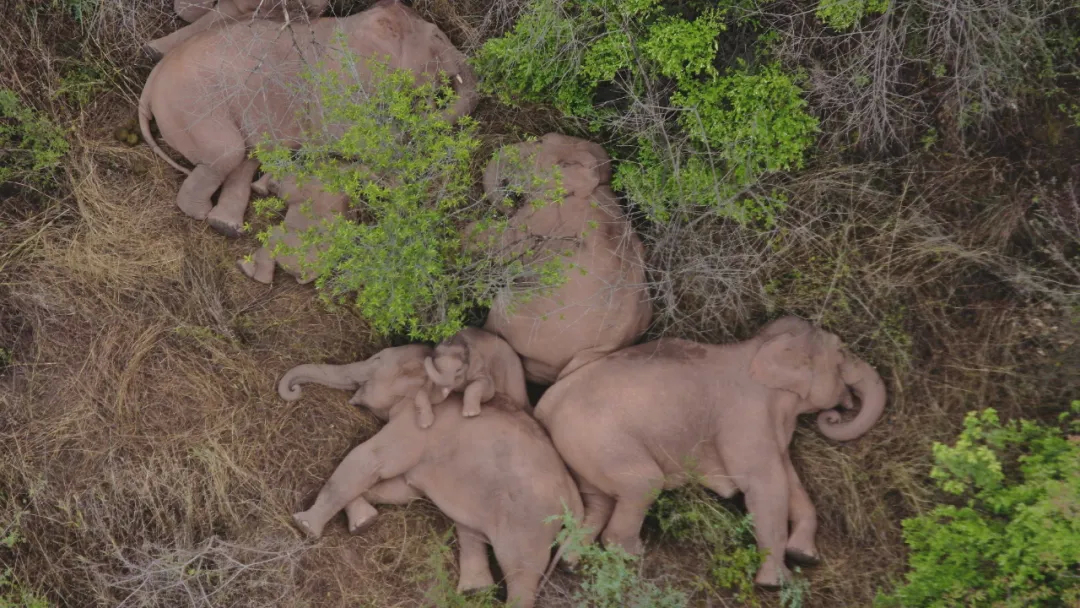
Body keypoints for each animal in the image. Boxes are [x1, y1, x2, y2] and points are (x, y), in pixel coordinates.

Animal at [278, 345, 583, 604]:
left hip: (529, 523)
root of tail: (575, 499)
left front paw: (305, 525)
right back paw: (474, 590)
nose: (294, 389)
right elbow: (401, 489)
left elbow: (371, 460)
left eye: (377, 360)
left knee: (520, 572)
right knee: (470, 530)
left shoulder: (417, 427)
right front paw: (363, 522)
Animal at [531, 319, 885, 591]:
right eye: (842, 353)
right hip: (599, 438)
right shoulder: (745, 416)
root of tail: (546, 404)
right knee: (643, 484)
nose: (834, 415)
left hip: (582, 448)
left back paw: (572, 563)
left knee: (599, 500)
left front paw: (803, 555)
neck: (760, 346)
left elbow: (790, 479)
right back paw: (633, 556)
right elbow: (765, 484)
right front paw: (777, 584)